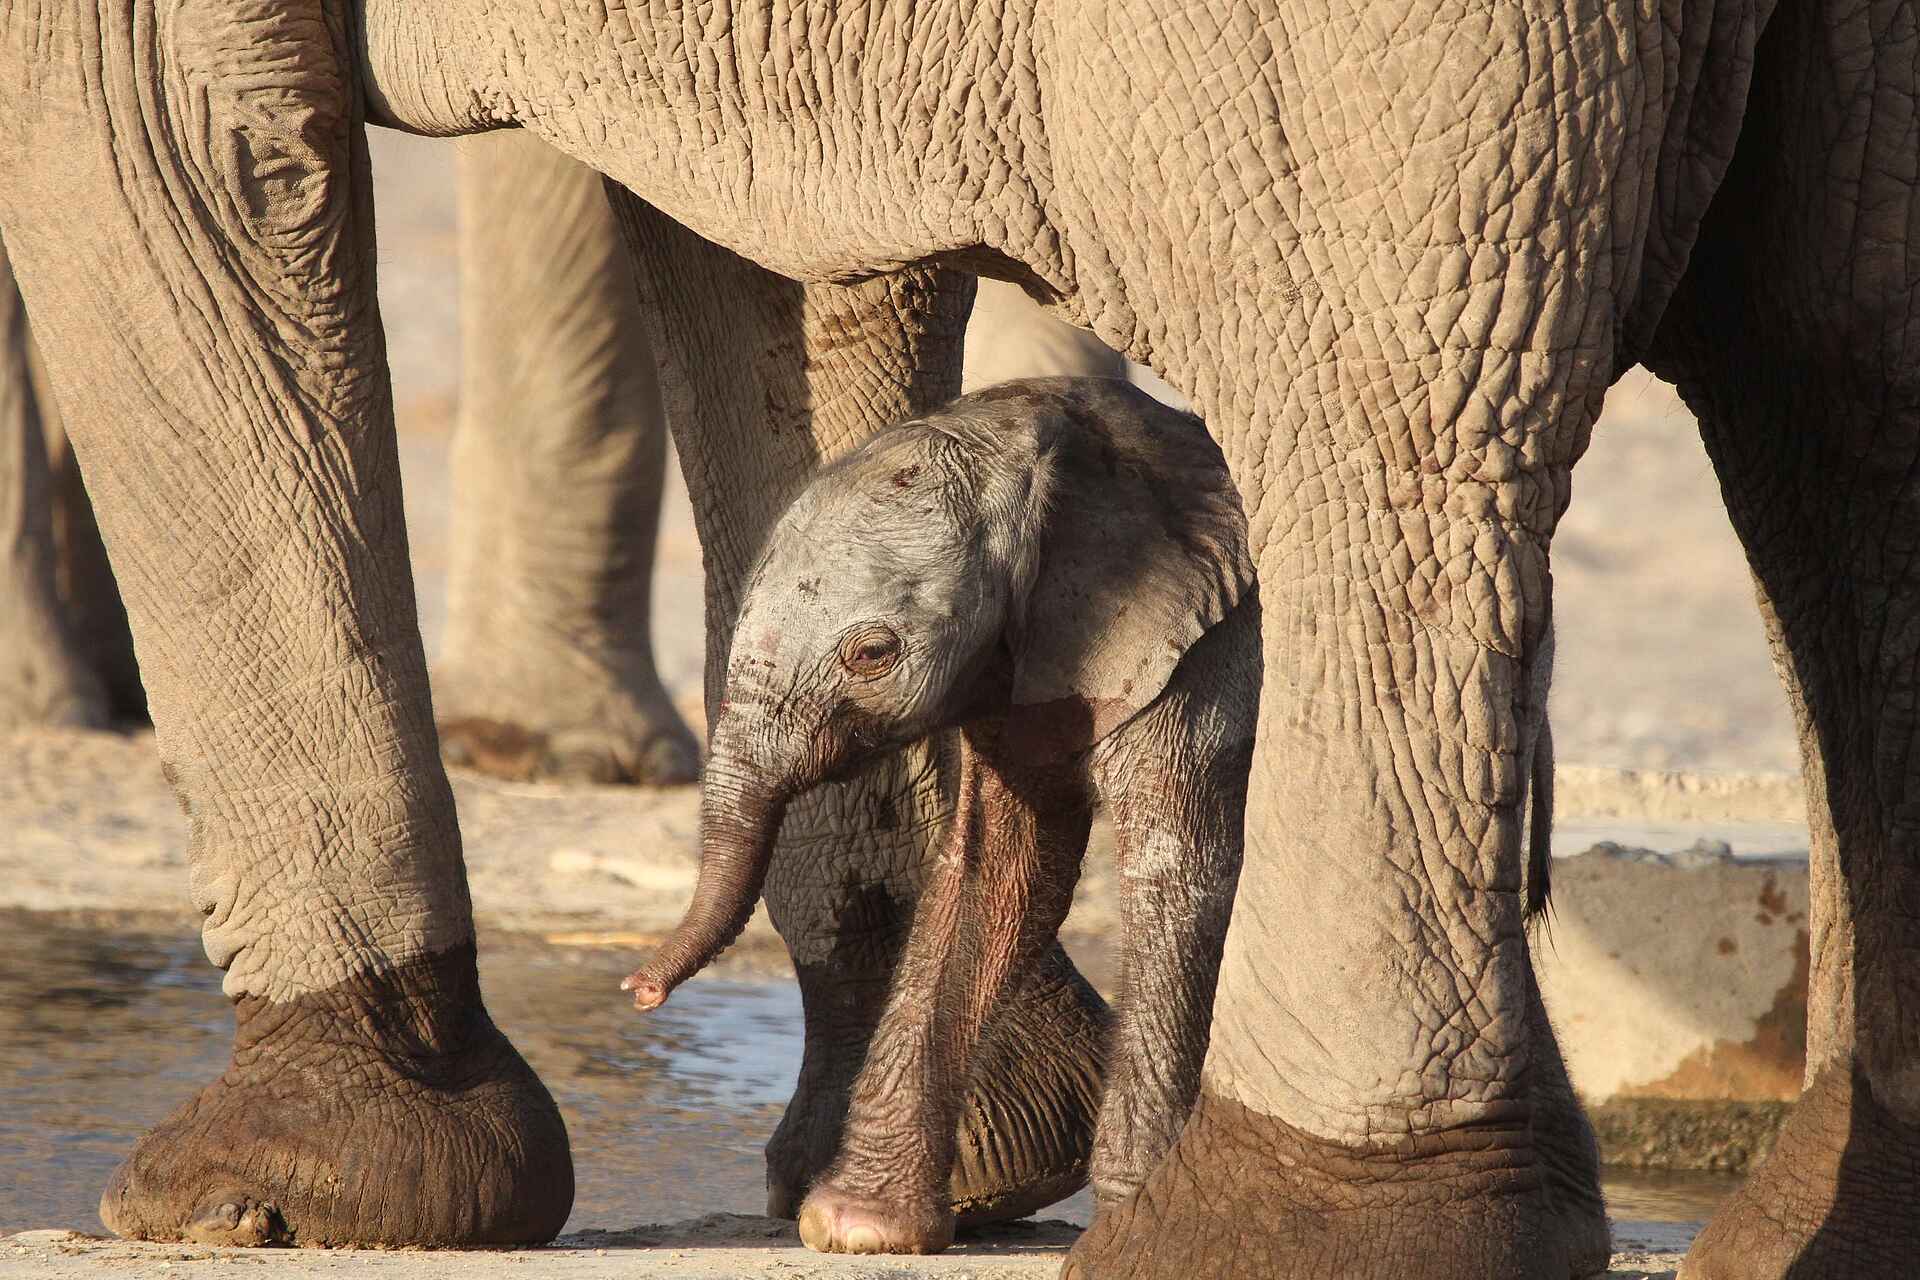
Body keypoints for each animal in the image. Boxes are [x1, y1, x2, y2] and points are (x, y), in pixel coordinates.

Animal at [623, 377, 1257, 1253]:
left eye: (871, 655)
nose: (637, 992)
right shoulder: (1030, 667)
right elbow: (996, 876)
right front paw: (856, 1228)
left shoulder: (1200, 649)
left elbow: (1178, 872)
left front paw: (1143, 1218)